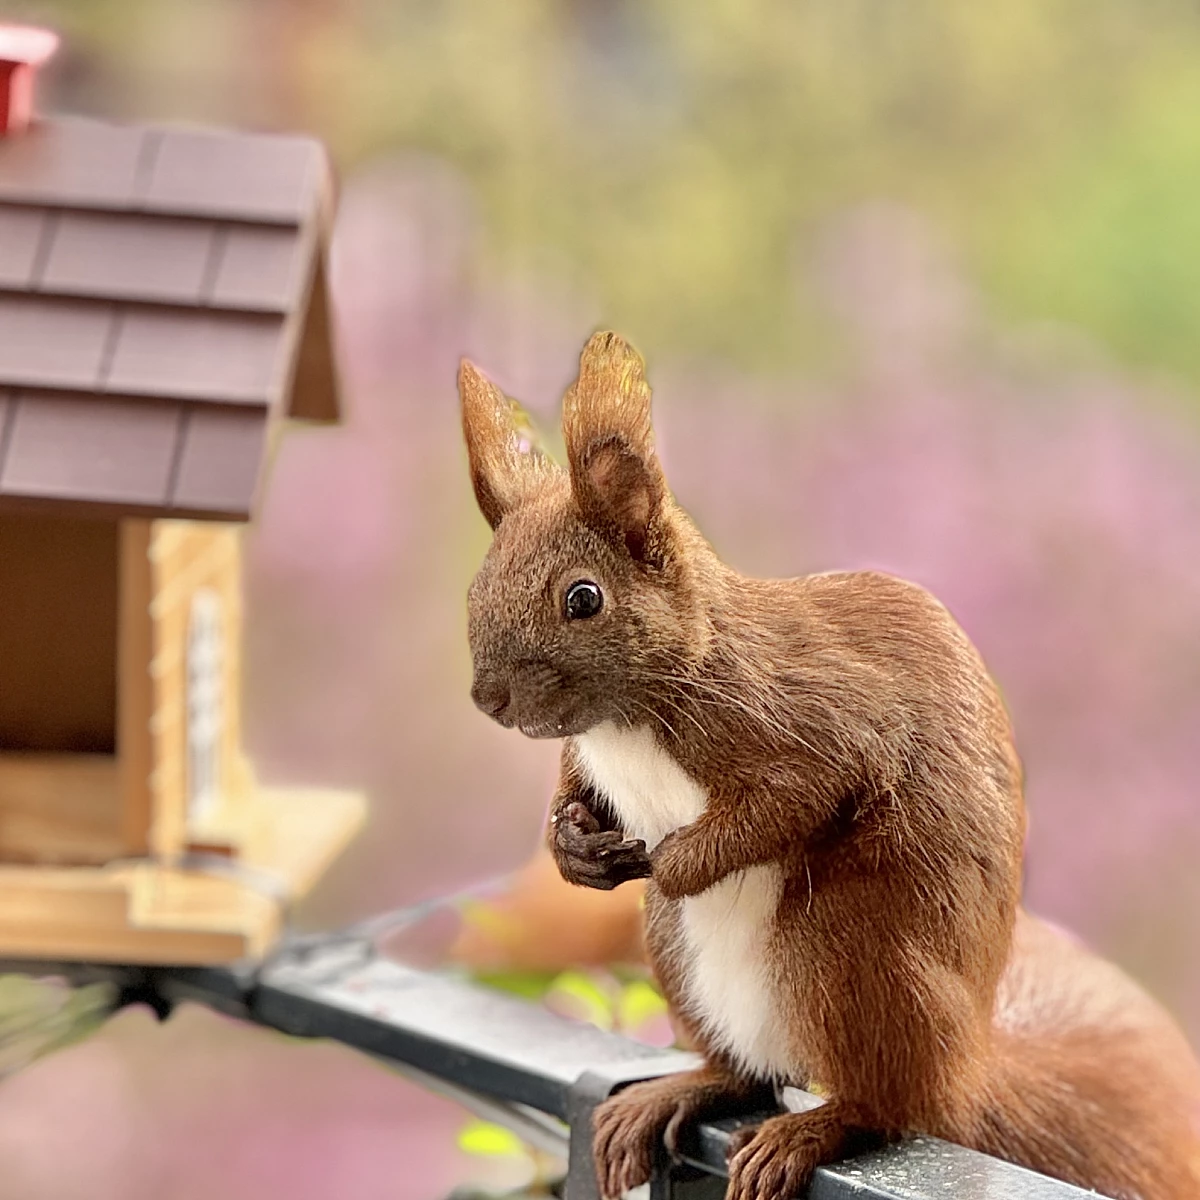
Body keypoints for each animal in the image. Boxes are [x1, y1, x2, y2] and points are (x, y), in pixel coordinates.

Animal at [456, 331, 1200, 1200]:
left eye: (584, 598)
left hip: (847, 953)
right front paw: (574, 847)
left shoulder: (812, 721)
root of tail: (964, 1073)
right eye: (477, 587)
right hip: (683, 960)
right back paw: (678, 1093)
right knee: (744, 1075)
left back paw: (811, 1130)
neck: (626, 722)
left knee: (887, 1106)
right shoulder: (588, 753)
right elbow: (575, 794)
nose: (488, 699)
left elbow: (794, 798)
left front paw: (675, 861)